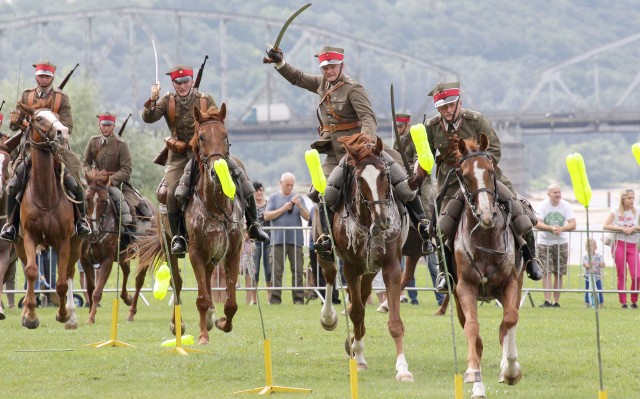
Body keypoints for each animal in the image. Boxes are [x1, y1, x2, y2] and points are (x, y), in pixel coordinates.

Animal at [13, 104, 82, 332]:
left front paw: (63, 314)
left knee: (69, 273)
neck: (45, 194)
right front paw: (30, 316)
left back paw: (71, 316)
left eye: (57, 116)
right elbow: (32, 272)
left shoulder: (64, 240)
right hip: (19, 244)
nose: (62, 132)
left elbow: (60, 282)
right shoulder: (28, 237)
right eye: (38, 118)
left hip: (76, 244)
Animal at [80, 170, 156, 324]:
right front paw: (91, 313)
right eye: (87, 199)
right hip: (123, 256)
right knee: (126, 272)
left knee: (139, 281)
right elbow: (90, 289)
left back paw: (131, 312)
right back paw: (127, 298)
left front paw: (91, 317)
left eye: (104, 201)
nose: (94, 228)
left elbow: (97, 292)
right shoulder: (86, 262)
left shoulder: (107, 262)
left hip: (144, 255)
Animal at [136, 104, 244, 346]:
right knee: (177, 281)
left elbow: (231, 302)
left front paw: (222, 322)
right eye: (201, 137)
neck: (215, 206)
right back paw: (178, 324)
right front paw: (203, 335)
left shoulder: (232, 252)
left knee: (208, 277)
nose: (216, 172)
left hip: (212, 255)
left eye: (225, 136)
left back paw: (212, 316)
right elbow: (201, 297)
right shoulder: (195, 252)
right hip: (170, 247)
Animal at [316, 133, 416, 382]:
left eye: (385, 175)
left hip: (371, 268)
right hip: (328, 252)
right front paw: (359, 358)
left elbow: (394, 321)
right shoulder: (351, 267)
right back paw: (329, 318)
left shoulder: (391, 266)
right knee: (330, 275)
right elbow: (357, 313)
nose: (383, 221)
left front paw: (403, 369)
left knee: (363, 292)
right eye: (360, 180)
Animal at [452, 135, 524, 399]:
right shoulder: (464, 288)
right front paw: (474, 375)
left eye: (490, 170)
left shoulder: (510, 282)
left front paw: (511, 370)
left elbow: (510, 320)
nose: (486, 215)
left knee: (508, 324)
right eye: (464, 175)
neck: (484, 237)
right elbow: (472, 329)